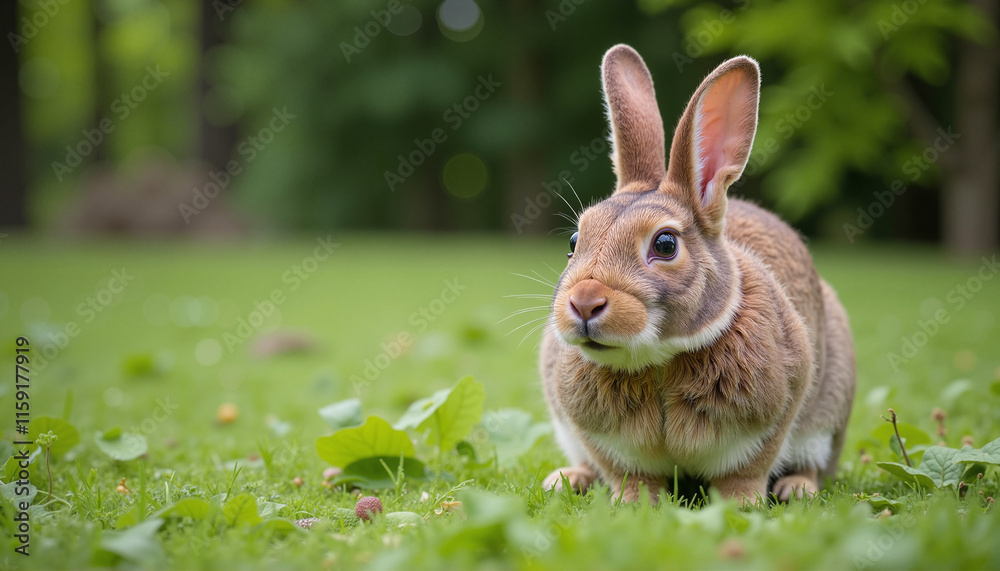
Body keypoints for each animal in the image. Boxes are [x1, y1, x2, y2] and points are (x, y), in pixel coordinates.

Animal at [540, 45, 856, 505]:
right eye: (575, 240)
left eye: (665, 245)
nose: (584, 303)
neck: (657, 360)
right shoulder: (597, 438)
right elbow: (626, 474)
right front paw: (631, 503)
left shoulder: (775, 415)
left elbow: (747, 470)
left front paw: (742, 504)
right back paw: (567, 478)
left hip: (829, 409)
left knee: (813, 463)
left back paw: (797, 489)